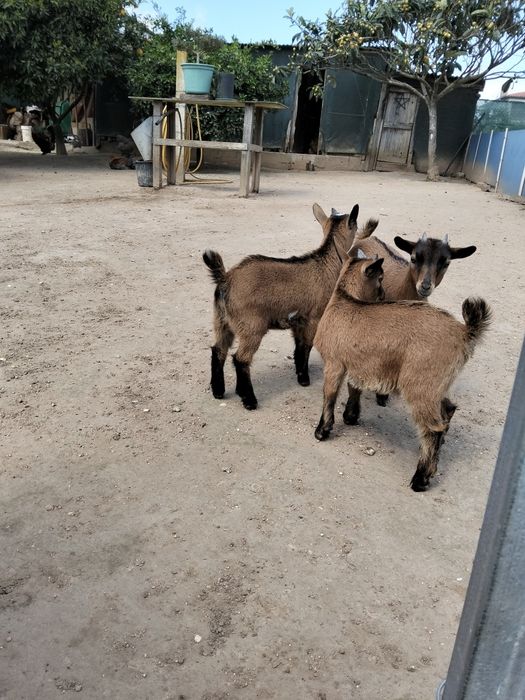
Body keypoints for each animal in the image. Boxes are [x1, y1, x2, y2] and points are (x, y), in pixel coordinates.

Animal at [202, 203, 359, 410]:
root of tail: (225, 279)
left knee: (218, 350)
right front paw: (304, 379)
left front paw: (300, 374)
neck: (325, 265)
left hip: (222, 321)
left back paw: (219, 391)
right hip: (252, 327)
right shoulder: (314, 318)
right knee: (240, 359)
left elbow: (299, 347)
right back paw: (249, 399)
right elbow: (306, 346)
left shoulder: (298, 320)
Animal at [313, 252, 491, 491]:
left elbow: (329, 396)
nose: (382, 295)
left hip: (419, 385)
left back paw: (421, 478)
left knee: (433, 428)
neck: (345, 300)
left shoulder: (334, 364)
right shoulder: (358, 365)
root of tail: (464, 332)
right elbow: (354, 389)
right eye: (380, 279)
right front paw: (350, 417)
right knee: (447, 411)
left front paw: (322, 431)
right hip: (436, 385)